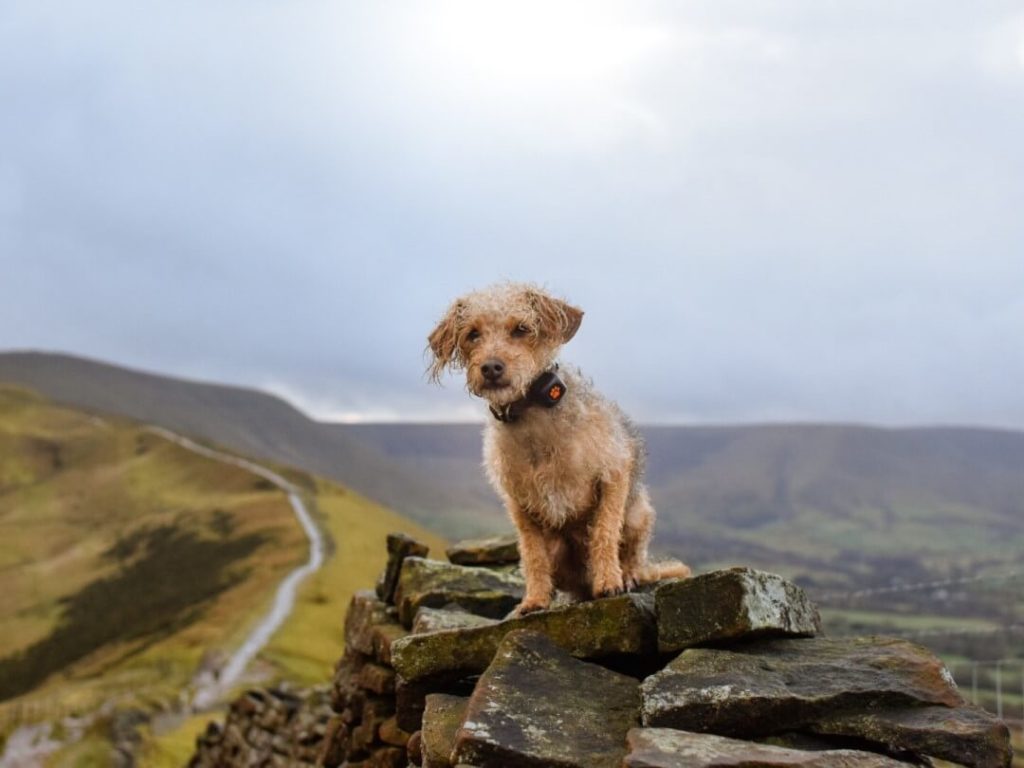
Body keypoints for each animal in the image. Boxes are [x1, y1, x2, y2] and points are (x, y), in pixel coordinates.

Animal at [423, 280, 688, 618]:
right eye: (472, 334)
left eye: (521, 329)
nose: (491, 367)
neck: (533, 417)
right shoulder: (519, 504)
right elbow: (533, 556)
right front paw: (534, 599)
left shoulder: (614, 472)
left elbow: (604, 531)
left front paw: (609, 581)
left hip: (639, 514)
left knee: (634, 559)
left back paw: (627, 575)